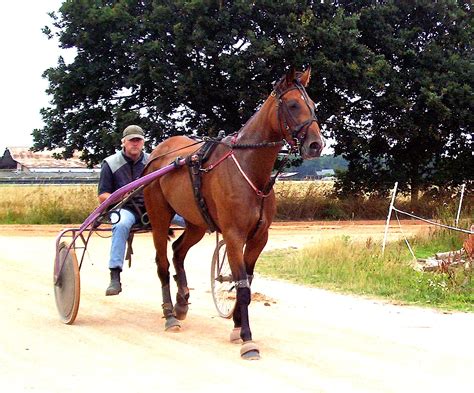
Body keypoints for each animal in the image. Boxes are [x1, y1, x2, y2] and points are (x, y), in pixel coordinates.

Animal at [143, 67, 324, 358]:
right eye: (293, 105)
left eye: (313, 105)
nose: (316, 145)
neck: (249, 169)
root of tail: (158, 154)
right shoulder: (234, 236)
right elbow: (241, 286)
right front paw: (247, 338)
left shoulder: (259, 237)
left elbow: (246, 283)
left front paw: (238, 326)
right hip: (159, 216)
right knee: (162, 263)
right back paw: (170, 314)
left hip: (196, 223)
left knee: (179, 251)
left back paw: (181, 303)